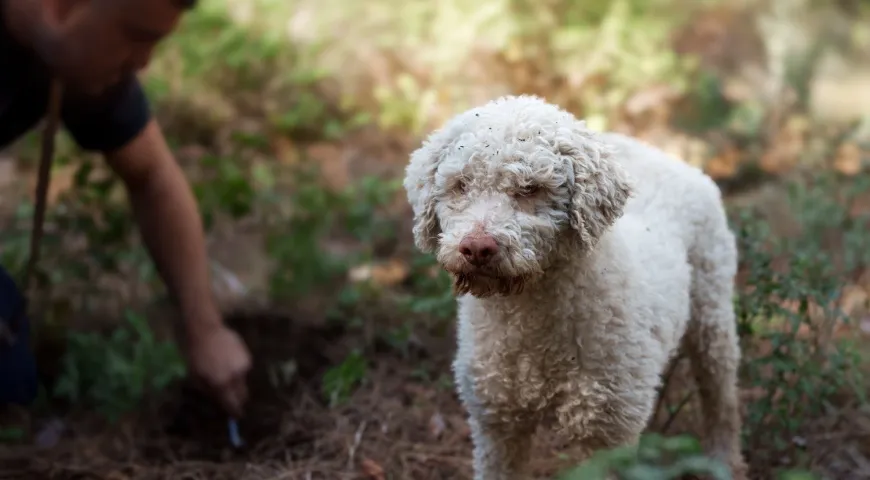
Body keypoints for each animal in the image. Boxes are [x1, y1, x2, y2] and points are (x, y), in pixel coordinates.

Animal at [402, 95, 748, 478]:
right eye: (460, 185)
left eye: (531, 188)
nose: (477, 248)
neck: (530, 322)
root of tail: (666, 155)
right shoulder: (496, 424)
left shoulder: (605, 432)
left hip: (711, 314)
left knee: (722, 398)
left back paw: (723, 461)